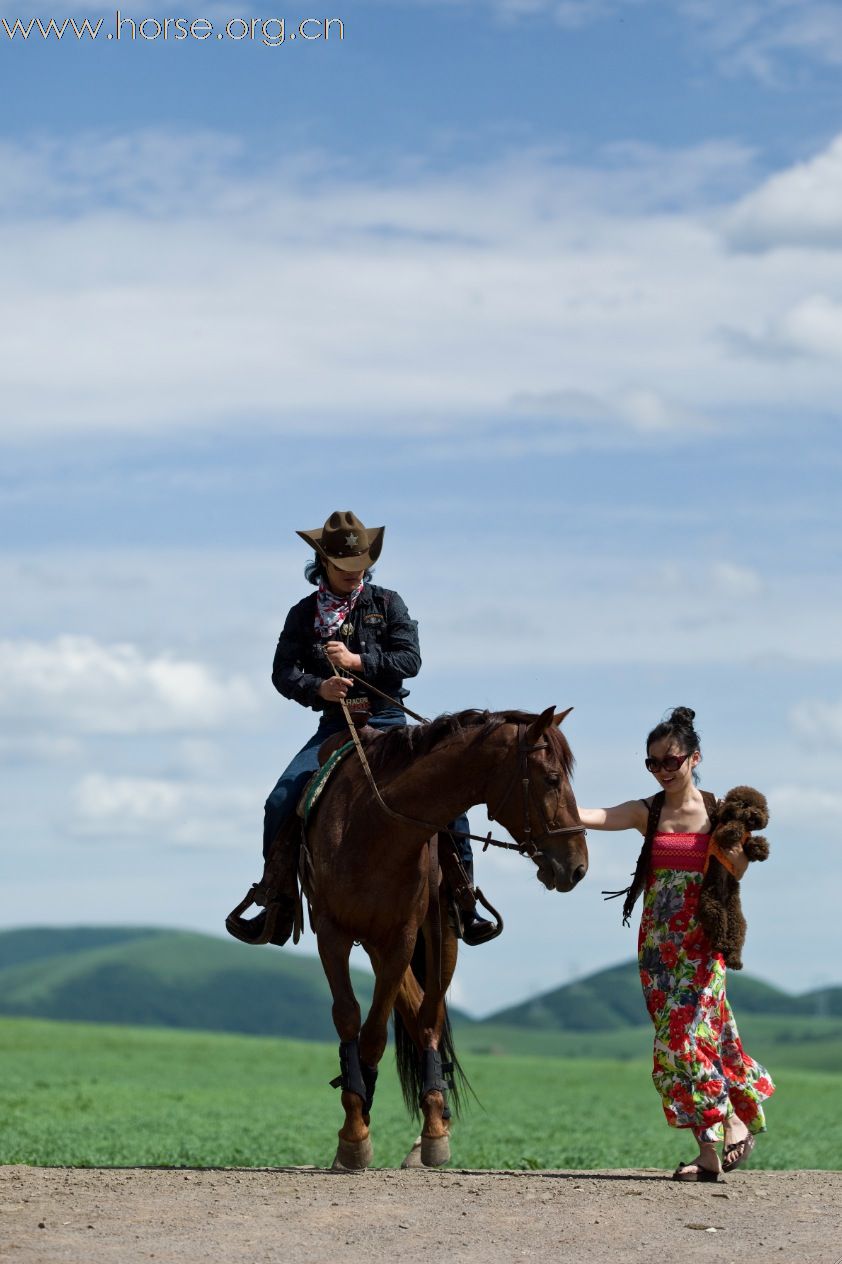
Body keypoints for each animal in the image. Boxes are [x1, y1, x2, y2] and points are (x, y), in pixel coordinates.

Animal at [302, 702, 584, 1162]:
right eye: (552, 778)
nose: (577, 866)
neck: (374, 824)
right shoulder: (333, 933)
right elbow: (348, 1019)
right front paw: (354, 1132)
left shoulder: (402, 937)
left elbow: (377, 1034)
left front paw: (376, 1126)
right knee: (414, 1011)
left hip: (438, 938)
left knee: (427, 1019)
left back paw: (433, 1129)